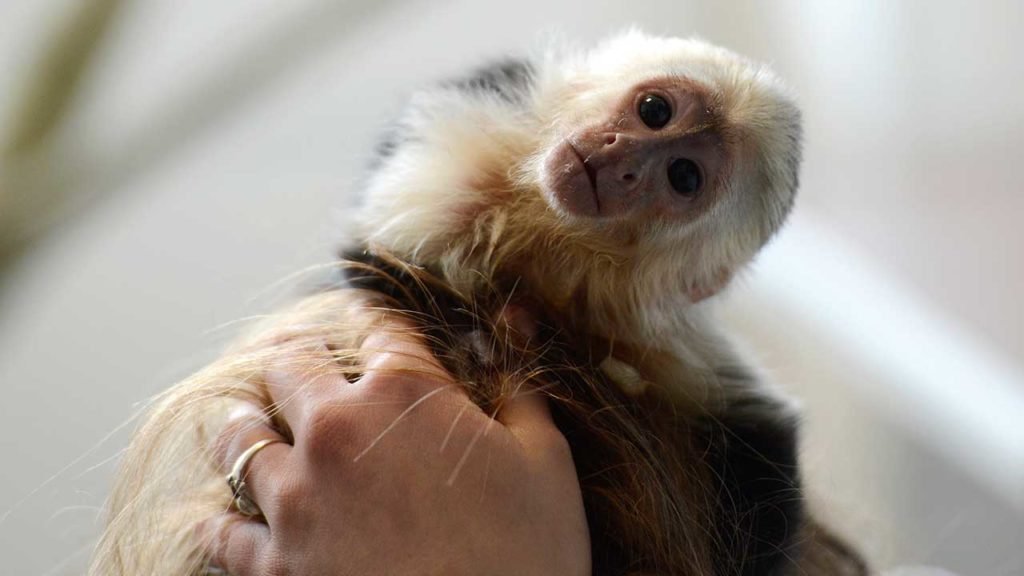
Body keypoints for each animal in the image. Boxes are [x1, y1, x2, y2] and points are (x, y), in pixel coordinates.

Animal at [90, 31, 868, 575]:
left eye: (682, 177)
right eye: (654, 110)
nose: (625, 160)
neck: (545, 236)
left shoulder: (658, 337)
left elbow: (760, 442)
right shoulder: (462, 142)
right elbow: (376, 259)